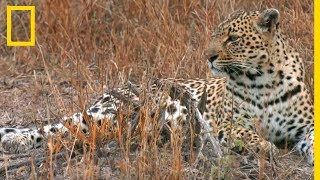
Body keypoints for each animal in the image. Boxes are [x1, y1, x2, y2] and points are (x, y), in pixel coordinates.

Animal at [0, 9, 316, 165]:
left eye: (233, 38)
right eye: (216, 35)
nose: (208, 56)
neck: (264, 81)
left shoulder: (306, 126)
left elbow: (312, 139)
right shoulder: (224, 124)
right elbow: (246, 133)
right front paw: (265, 147)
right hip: (111, 115)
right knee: (57, 126)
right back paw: (15, 141)